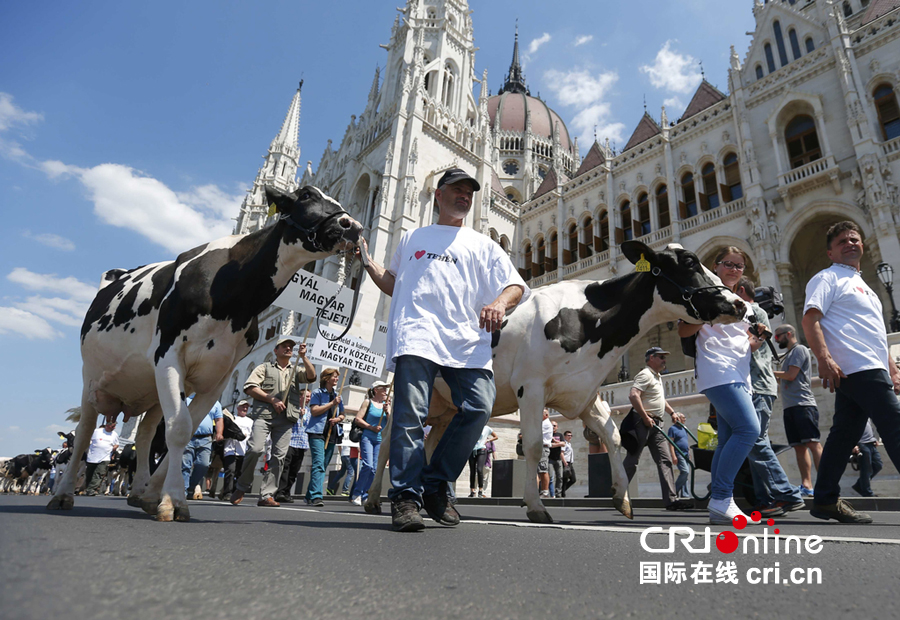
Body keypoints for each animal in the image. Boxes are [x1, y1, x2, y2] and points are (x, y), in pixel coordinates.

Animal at [49, 186, 362, 520]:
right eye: (305, 196)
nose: (352, 226)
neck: (234, 293)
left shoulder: (219, 375)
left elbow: (185, 431)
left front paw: (160, 496)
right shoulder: (169, 356)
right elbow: (179, 429)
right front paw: (173, 500)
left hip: (152, 388)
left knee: (146, 432)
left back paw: (139, 492)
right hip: (92, 379)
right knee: (85, 433)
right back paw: (63, 494)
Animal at [366, 242, 744, 524]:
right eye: (689, 262)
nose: (739, 304)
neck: (590, 323)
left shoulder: (586, 393)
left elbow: (614, 438)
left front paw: (622, 498)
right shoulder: (531, 387)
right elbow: (535, 446)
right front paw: (536, 506)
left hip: (445, 408)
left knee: (430, 445)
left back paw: (434, 500)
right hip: (410, 393)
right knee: (390, 443)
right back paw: (372, 500)